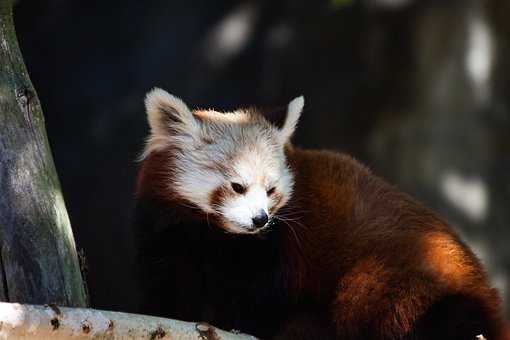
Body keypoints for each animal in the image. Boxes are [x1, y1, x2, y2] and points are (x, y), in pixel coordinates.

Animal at [135, 88, 510, 340]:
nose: (260, 219)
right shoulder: (167, 235)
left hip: (400, 275)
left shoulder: (277, 253)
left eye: (271, 190)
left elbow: (259, 299)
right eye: (238, 186)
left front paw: (240, 322)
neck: (213, 236)